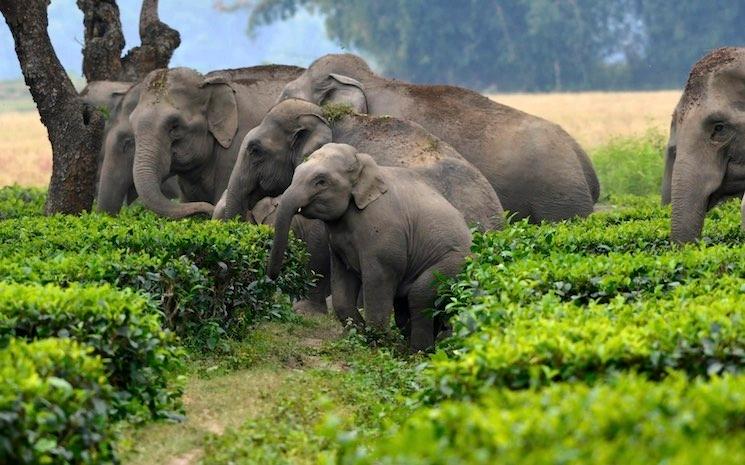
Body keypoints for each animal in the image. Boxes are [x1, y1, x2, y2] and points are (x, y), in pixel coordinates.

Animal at [267, 143, 472, 351]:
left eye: (321, 181)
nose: (272, 276)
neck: (363, 164)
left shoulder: (382, 233)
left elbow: (378, 278)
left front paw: (378, 343)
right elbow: (342, 281)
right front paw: (357, 336)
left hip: (454, 264)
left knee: (419, 296)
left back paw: (419, 352)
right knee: (406, 306)